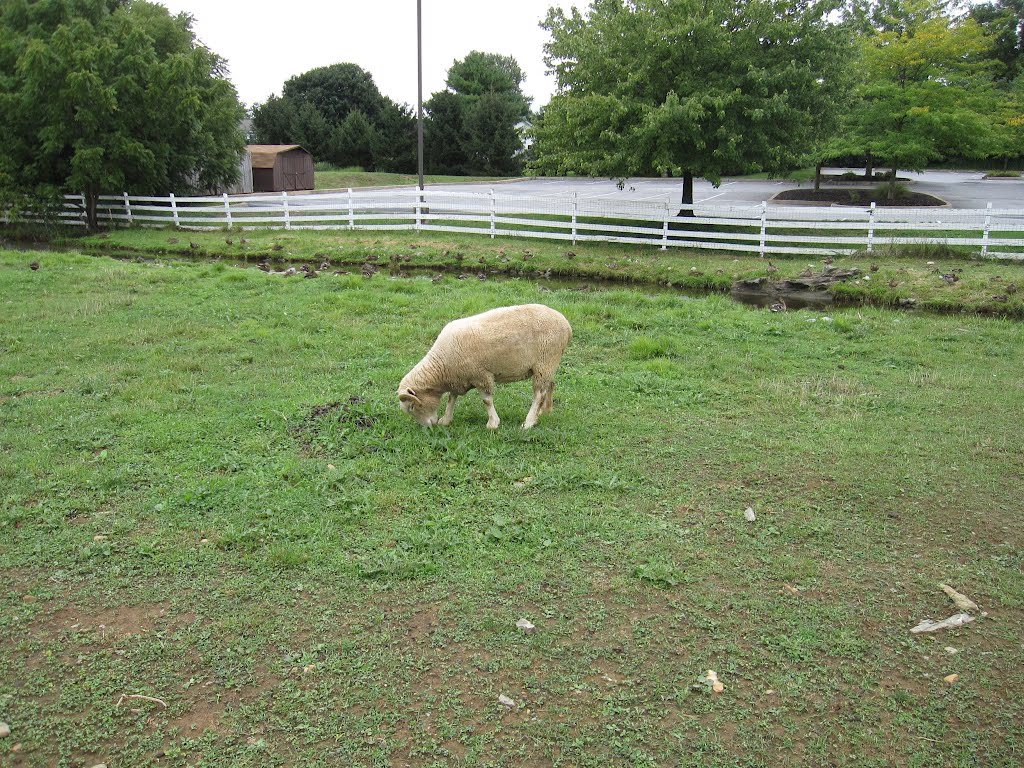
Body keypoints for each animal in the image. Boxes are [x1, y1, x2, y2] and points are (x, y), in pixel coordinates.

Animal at [397, 303, 573, 430]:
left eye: (411, 406)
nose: (428, 427)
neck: (442, 366)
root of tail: (565, 323)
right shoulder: (458, 376)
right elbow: (451, 398)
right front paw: (446, 420)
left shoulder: (481, 375)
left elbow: (486, 400)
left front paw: (493, 424)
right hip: (548, 365)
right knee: (550, 384)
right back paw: (545, 411)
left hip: (545, 360)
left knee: (539, 394)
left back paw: (528, 422)